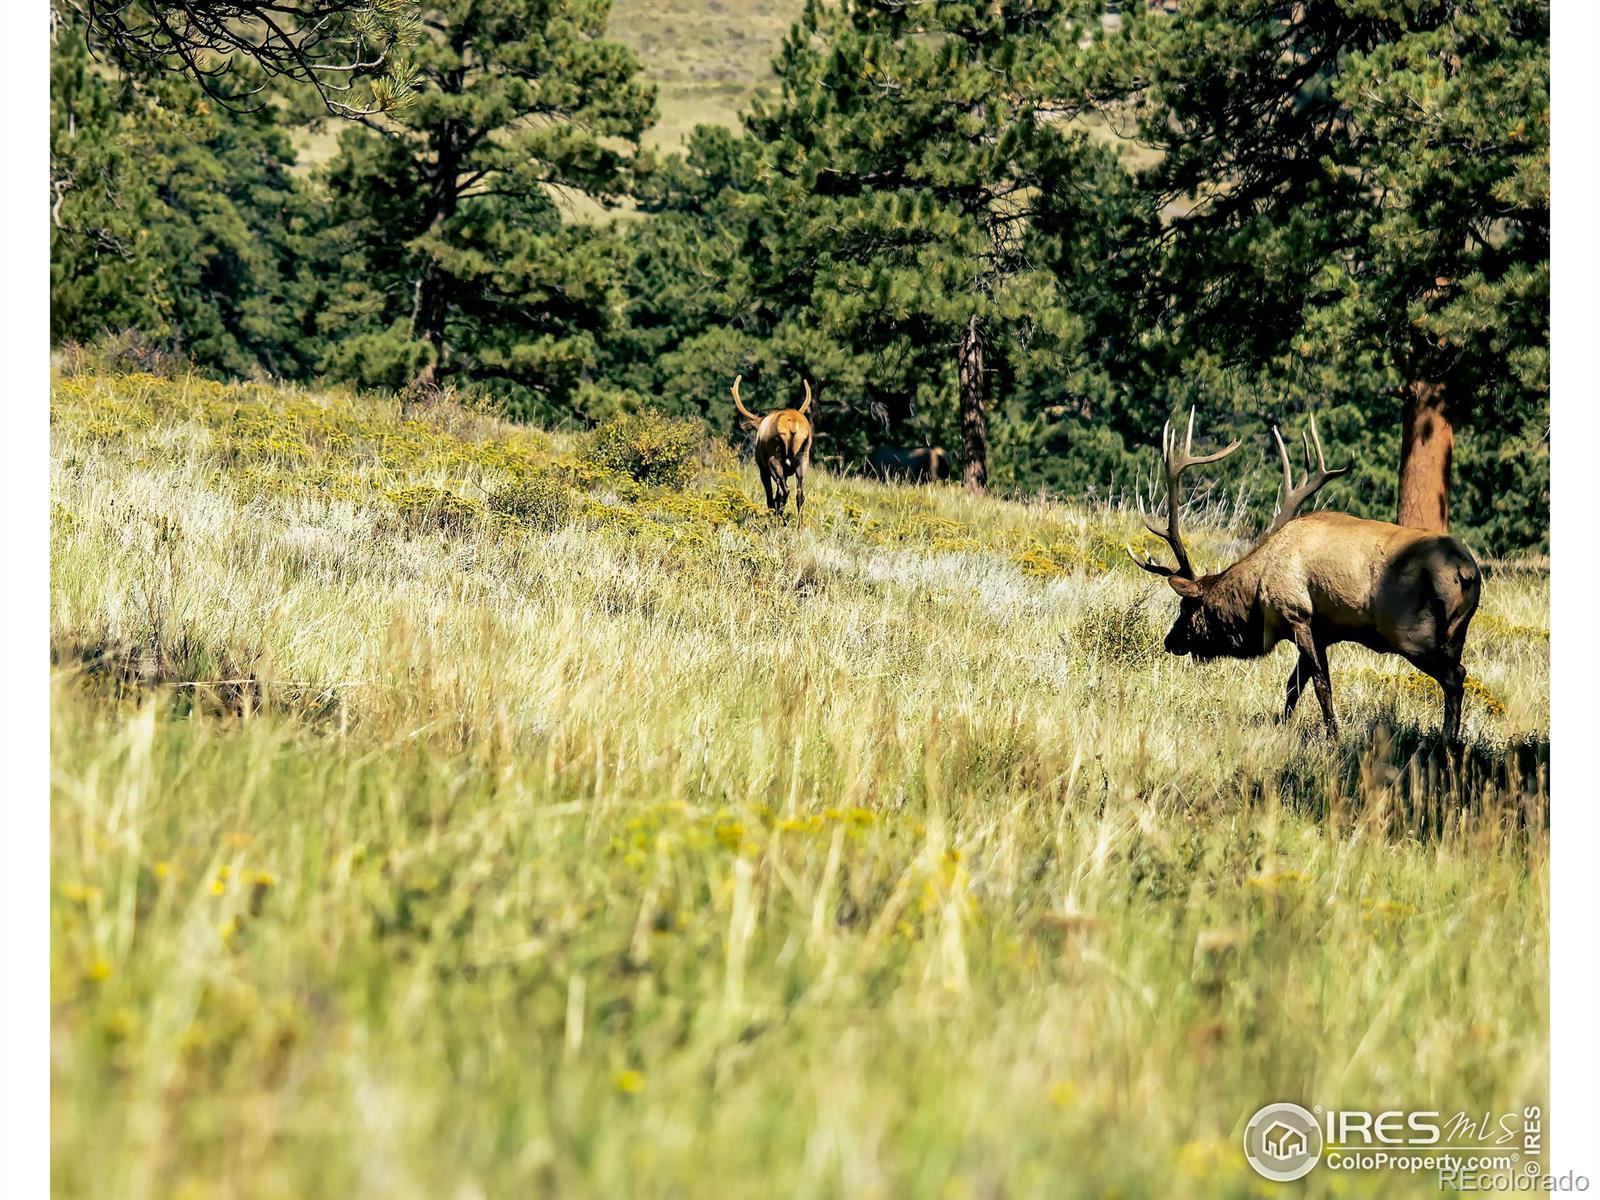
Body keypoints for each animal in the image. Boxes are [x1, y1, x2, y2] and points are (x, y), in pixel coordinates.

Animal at [732, 376, 812, 524]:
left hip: (773, 458)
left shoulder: (763, 468)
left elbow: (770, 495)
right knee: (799, 494)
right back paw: (799, 526)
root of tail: (792, 424)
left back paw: (778, 518)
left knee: (784, 491)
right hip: (803, 458)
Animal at [1132, 412, 1478, 742]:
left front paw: (1332, 737)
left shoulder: (1296, 615)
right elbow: (1293, 685)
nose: (1170, 641)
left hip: (1412, 633)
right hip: (1457, 633)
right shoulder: (1323, 630)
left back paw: (1446, 741)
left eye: (1187, 607)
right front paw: (1282, 726)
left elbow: (1320, 684)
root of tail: (1466, 572)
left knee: (1455, 676)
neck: (1256, 598)